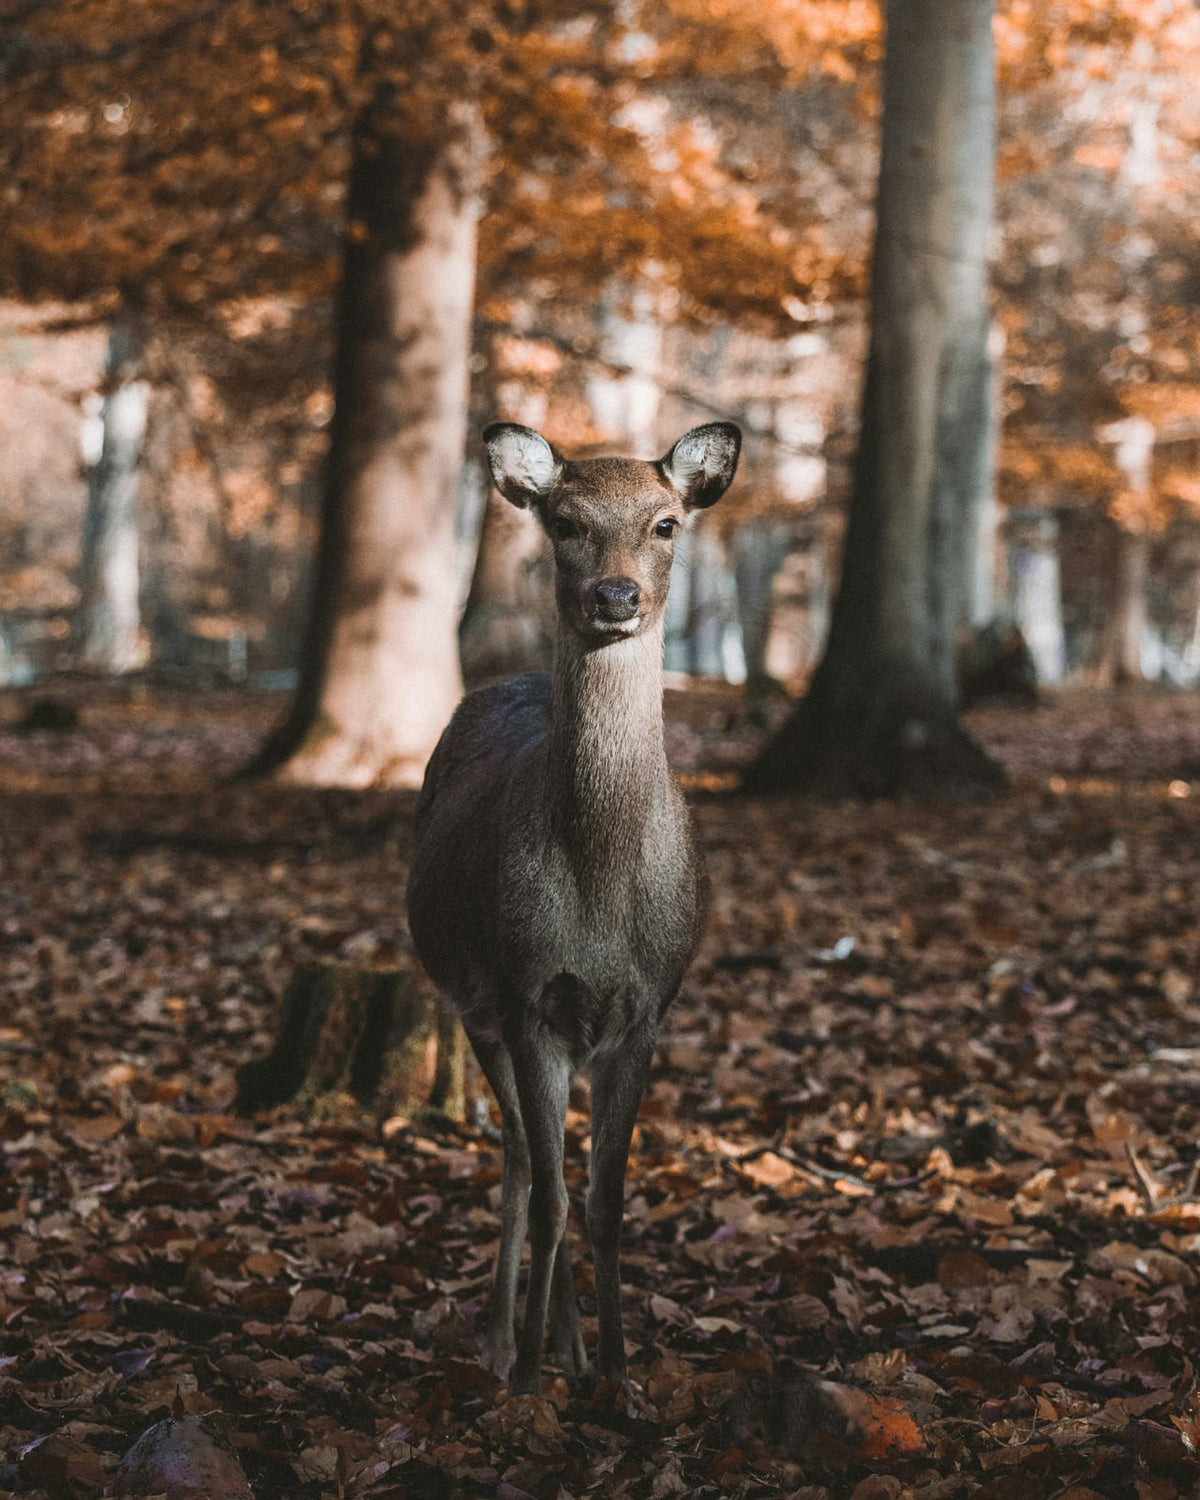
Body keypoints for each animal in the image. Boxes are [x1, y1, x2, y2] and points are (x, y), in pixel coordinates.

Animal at [406, 419, 741, 1403]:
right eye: (562, 521)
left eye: (666, 522)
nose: (615, 595)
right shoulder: (528, 996)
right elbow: (557, 1196)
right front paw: (526, 1383)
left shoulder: (648, 1008)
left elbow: (607, 1200)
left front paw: (621, 1379)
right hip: (470, 1000)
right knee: (520, 1155)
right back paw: (504, 1345)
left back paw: (569, 1349)